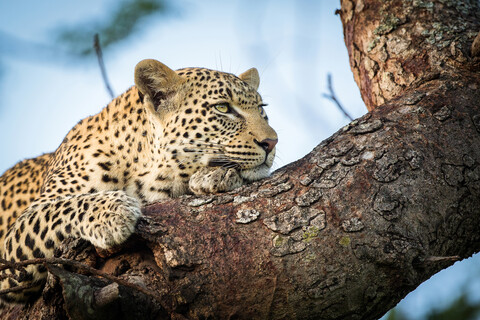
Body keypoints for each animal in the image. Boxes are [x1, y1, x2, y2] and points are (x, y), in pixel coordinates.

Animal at [0, 59, 278, 302]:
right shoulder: (14, 244)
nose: (272, 142)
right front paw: (112, 213)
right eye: (223, 108)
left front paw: (216, 175)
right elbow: (61, 208)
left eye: (262, 110)